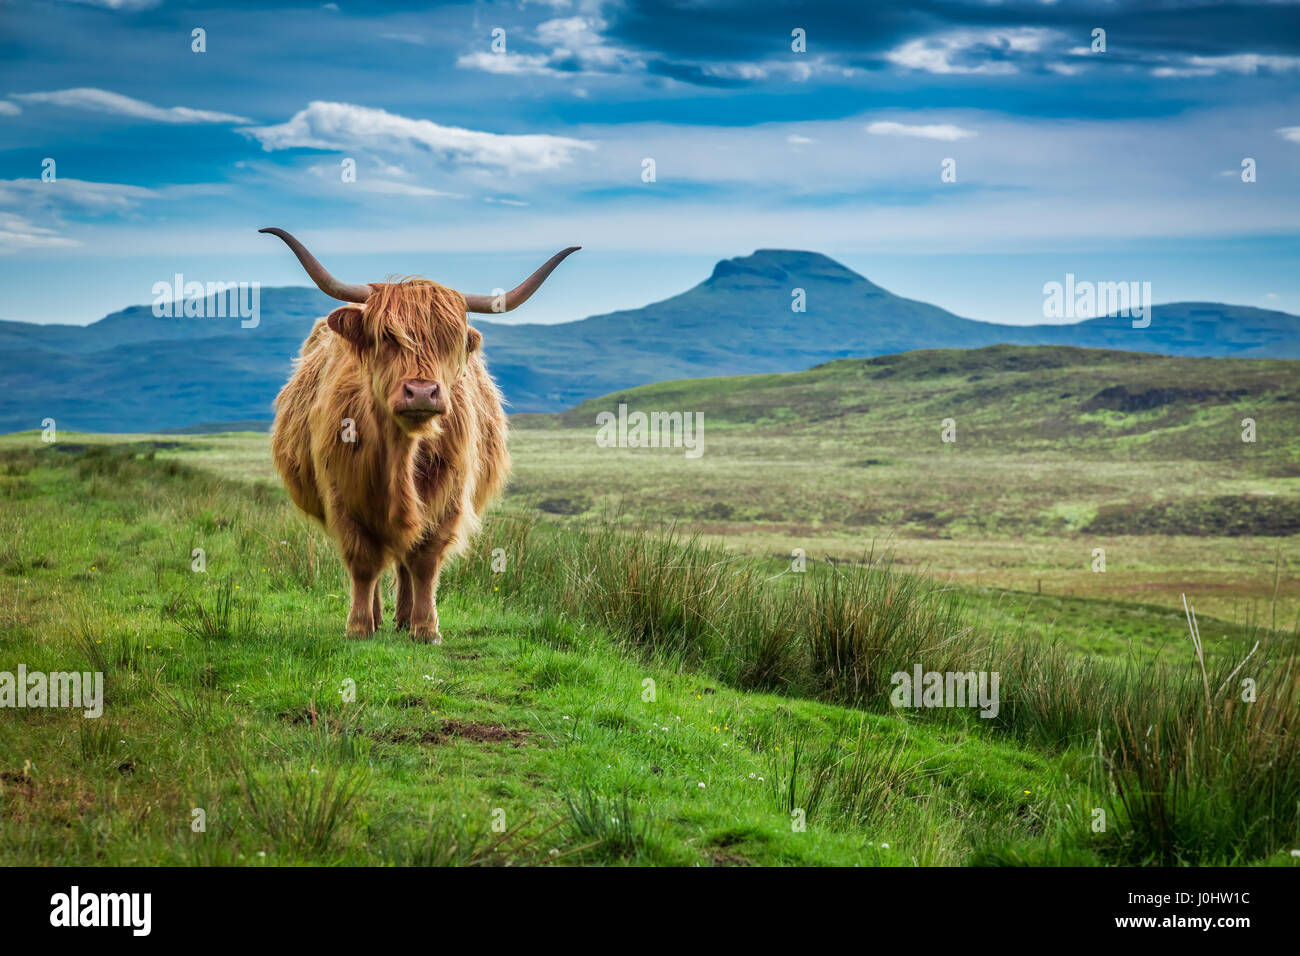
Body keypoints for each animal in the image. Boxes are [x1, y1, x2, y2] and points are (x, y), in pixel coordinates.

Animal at [260, 228, 579, 642]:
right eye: (386, 337)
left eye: (449, 340)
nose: (423, 392)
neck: (401, 453)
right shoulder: (343, 494)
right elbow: (363, 562)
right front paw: (359, 626)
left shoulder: (448, 496)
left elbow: (424, 560)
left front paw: (426, 628)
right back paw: (380, 616)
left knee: (404, 561)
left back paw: (403, 617)